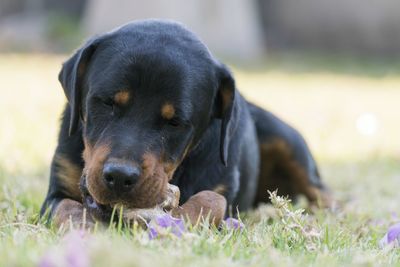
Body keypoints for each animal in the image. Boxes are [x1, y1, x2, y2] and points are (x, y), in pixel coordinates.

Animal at [39, 19, 332, 226]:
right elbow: (66, 208)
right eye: (108, 103)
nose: (120, 177)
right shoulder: (56, 192)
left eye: (176, 122)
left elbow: (211, 199)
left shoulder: (222, 185)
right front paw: (84, 227)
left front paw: (177, 221)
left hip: (286, 139)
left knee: (321, 191)